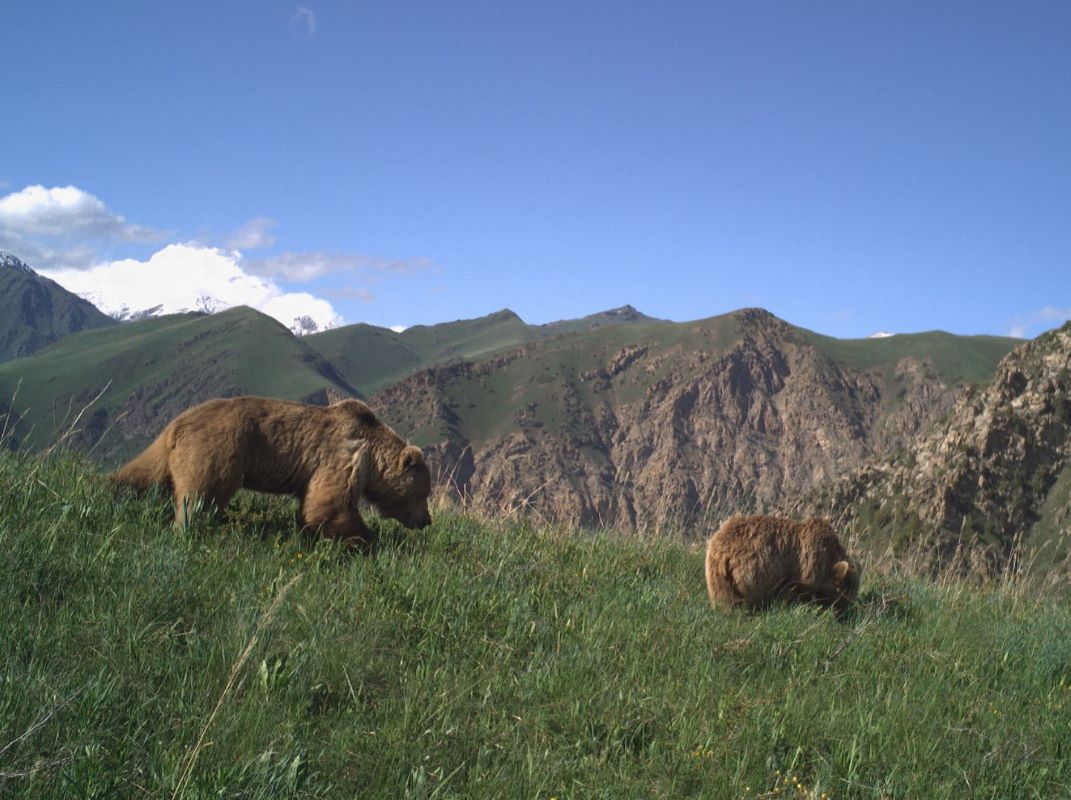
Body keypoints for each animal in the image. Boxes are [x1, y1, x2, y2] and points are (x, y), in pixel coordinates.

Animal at [111, 396, 430, 552]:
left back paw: (114, 489)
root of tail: (176, 424)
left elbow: (311, 507)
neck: (371, 458)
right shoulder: (342, 456)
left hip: (167, 453)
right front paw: (365, 540)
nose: (427, 520)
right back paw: (188, 529)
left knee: (143, 473)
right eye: (423, 493)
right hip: (217, 451)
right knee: (200, 497)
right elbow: (330, 505)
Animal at [702, 516, 861, 608]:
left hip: (716, 575)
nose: (849, 609)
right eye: (846, 591)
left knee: (724, 598)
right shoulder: (805, 567)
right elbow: (794, 591)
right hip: (755, 568)